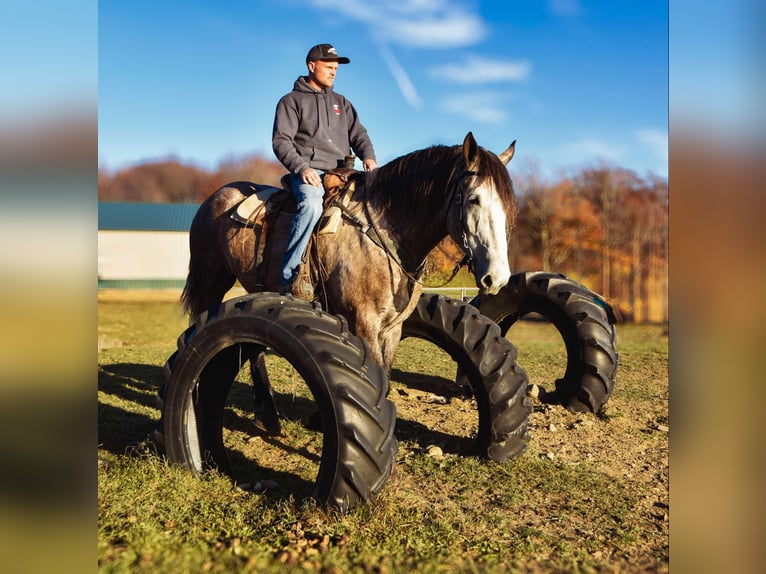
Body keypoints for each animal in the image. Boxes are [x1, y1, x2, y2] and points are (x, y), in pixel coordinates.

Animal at [181, 132, 517, 373]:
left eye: (508, 206)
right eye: (473, 199)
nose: (497, 278)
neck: (384, 232)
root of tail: (216, 197)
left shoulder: (392, 330)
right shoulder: (364, 323)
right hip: (212, 284)